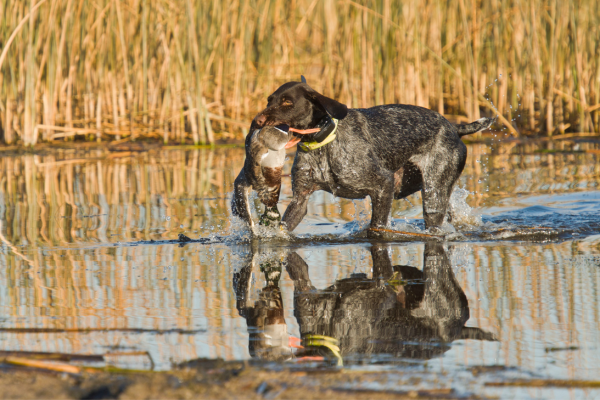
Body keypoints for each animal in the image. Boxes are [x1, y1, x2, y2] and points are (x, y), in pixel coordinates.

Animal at [232, 76, 494, 234]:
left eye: (287, 102)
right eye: (269, 100)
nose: (257, 122)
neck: (323, 145)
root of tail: (454, 127)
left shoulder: (383, 186)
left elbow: (376, 226)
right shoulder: (300, 199)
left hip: (433, 195)